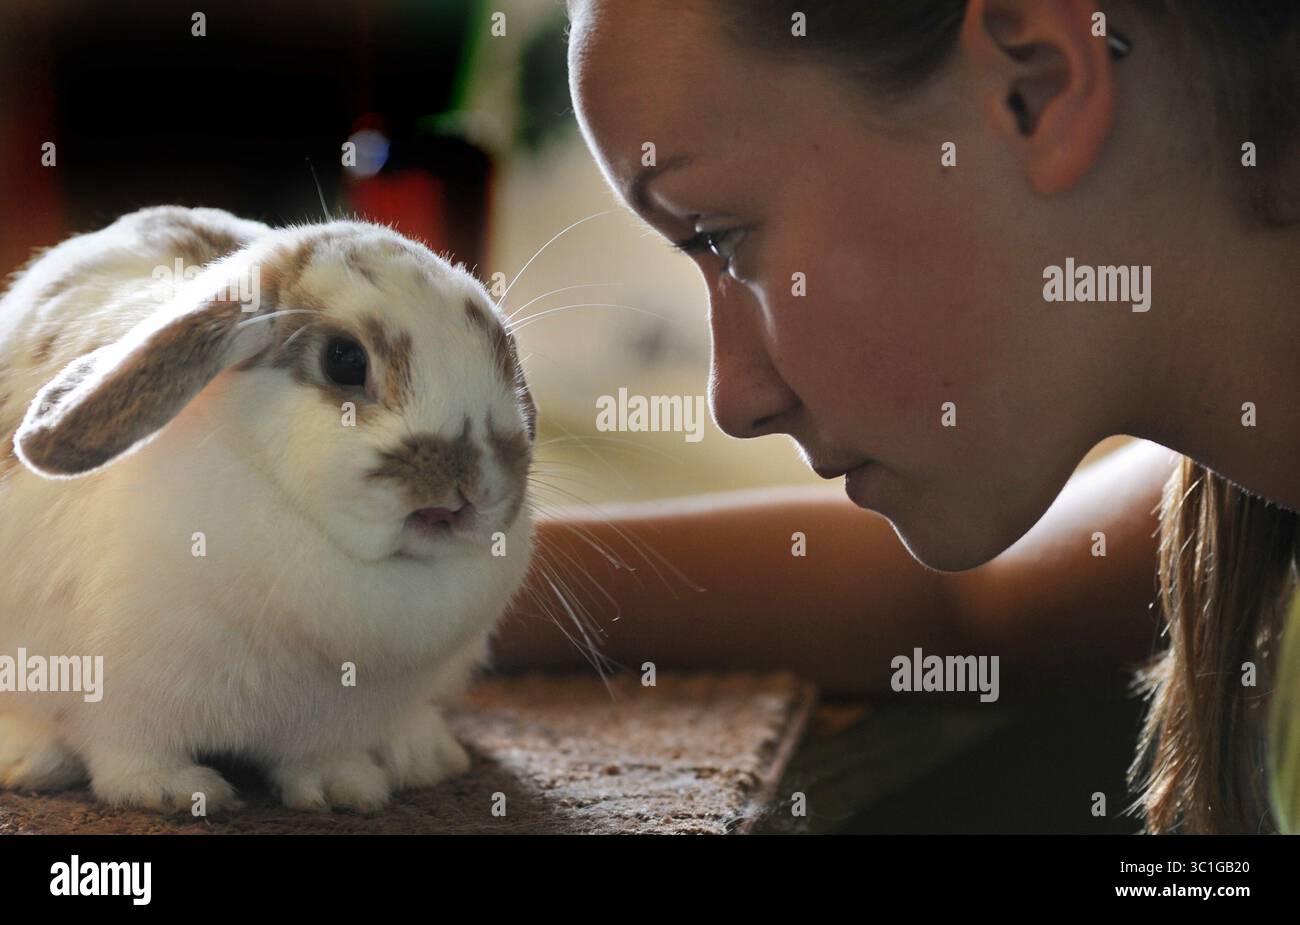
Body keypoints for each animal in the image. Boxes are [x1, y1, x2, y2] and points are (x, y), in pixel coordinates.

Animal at [0, 205, 537, 813]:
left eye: (507, 360)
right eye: (344, 361)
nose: (471, 489)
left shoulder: (335, 721)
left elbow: (321, 758)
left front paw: (342, 790)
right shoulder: (121, 705)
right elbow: (129, 758)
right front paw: (177, 792)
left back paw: (424, 755)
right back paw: (29, 761)